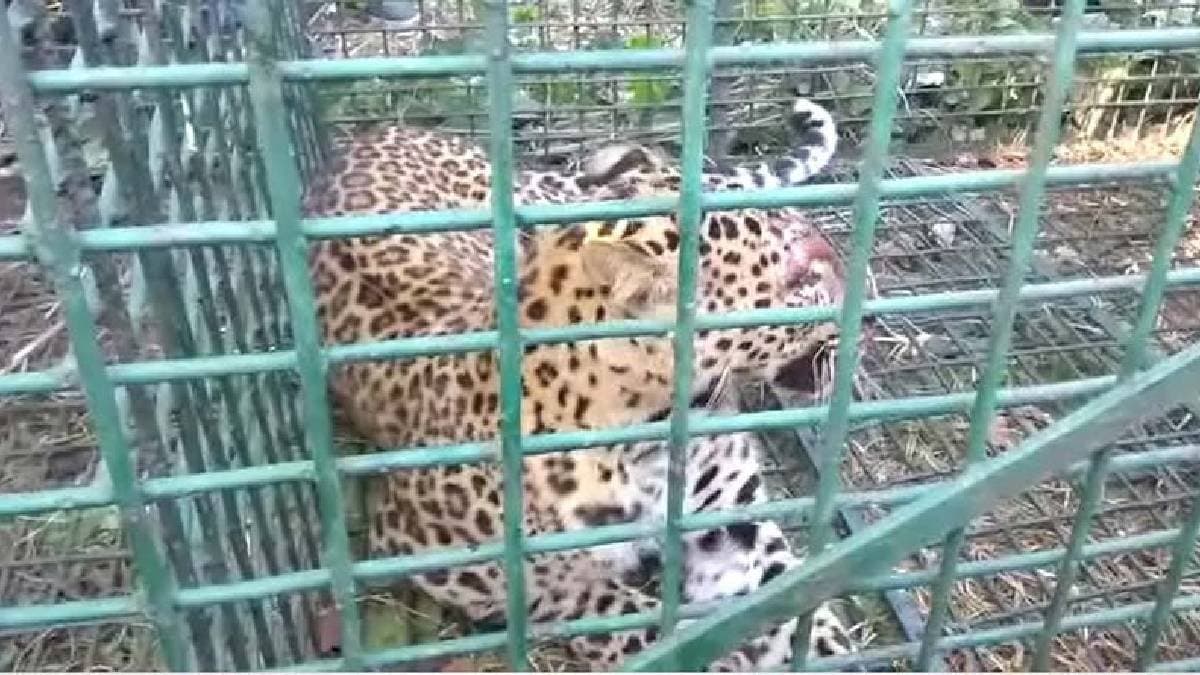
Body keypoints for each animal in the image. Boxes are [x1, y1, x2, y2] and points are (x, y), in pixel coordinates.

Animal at [305, 95, 859, 670]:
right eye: (798, 273)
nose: (853, 283)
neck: (650, 430)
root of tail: (363, 140)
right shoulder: (435, 551)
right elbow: (615, 613)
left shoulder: (732, 528)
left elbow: (804, 604)